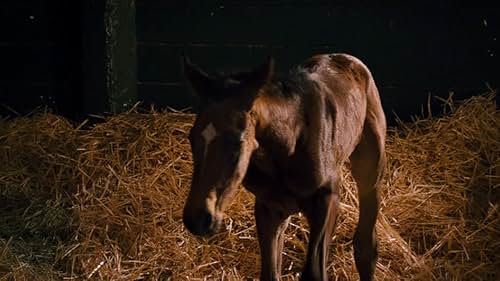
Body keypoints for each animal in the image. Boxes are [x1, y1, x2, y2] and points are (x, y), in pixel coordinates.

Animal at [183, 53, 386, 280]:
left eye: (237, 142)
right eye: (192, 138)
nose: (197, 219)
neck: (289, 144)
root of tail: (345, 58)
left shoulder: (328, 198)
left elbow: (314, 272)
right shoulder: (269, 207)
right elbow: (270, 274)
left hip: (371, 169)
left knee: (366, 246)